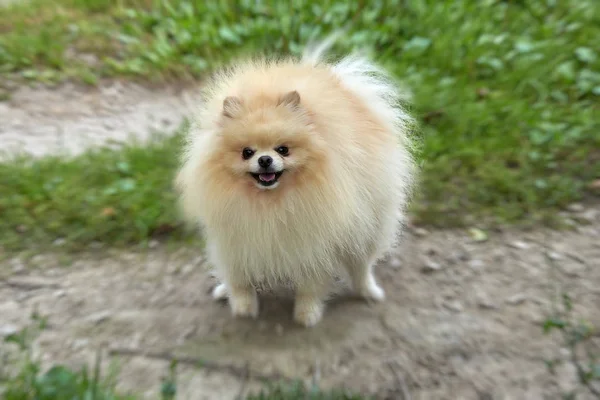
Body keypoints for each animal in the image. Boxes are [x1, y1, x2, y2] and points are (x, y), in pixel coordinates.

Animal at [176, 39, 414, 326]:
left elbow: (310, 284)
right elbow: (239, 277)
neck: (270, 203)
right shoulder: (235, 236)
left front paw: (306, 314)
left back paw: (368, 291)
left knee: (361, 265)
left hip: (369, 223)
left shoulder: (312, 242)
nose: (265, 159)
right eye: (247, 152)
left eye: (283, 149)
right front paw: (242, 306)